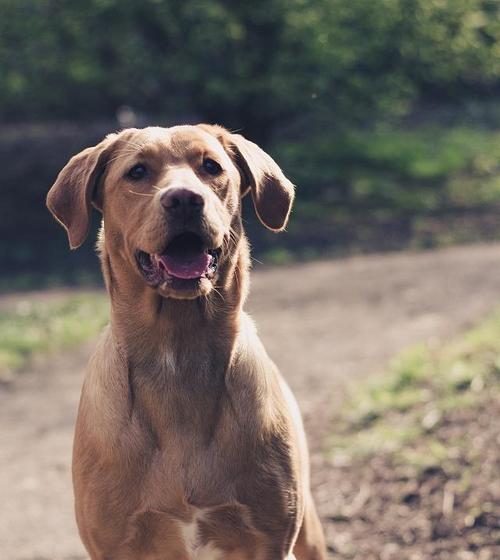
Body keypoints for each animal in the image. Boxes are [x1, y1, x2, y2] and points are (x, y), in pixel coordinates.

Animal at [47, 124, 328, 556]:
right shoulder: (113, 543)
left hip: (307, 534)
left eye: (211, 167)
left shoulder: (269, 539)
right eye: (137, 171)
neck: (178, 351)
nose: (184, 199)